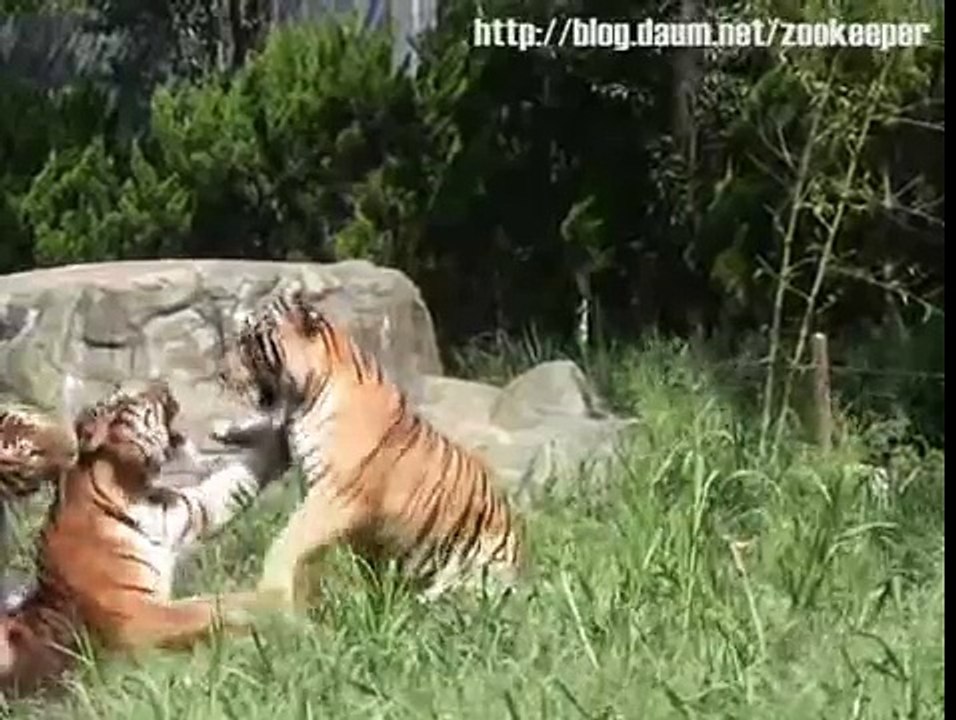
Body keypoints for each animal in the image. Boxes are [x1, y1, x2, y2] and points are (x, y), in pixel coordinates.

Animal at [0, 379, 290, 697]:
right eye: (129, 398)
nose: (163, 383)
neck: (134, 490)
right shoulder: (137, 614)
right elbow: (201, 610)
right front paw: (266, 614)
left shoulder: (191, 509)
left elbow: (237, 480)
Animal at [215, 287, 526, 613]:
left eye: (249, 342)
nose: (221, 373)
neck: (307, 397)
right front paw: (226, 430)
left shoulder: (336, 494)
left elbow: (289, 538)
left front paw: (272, 586)